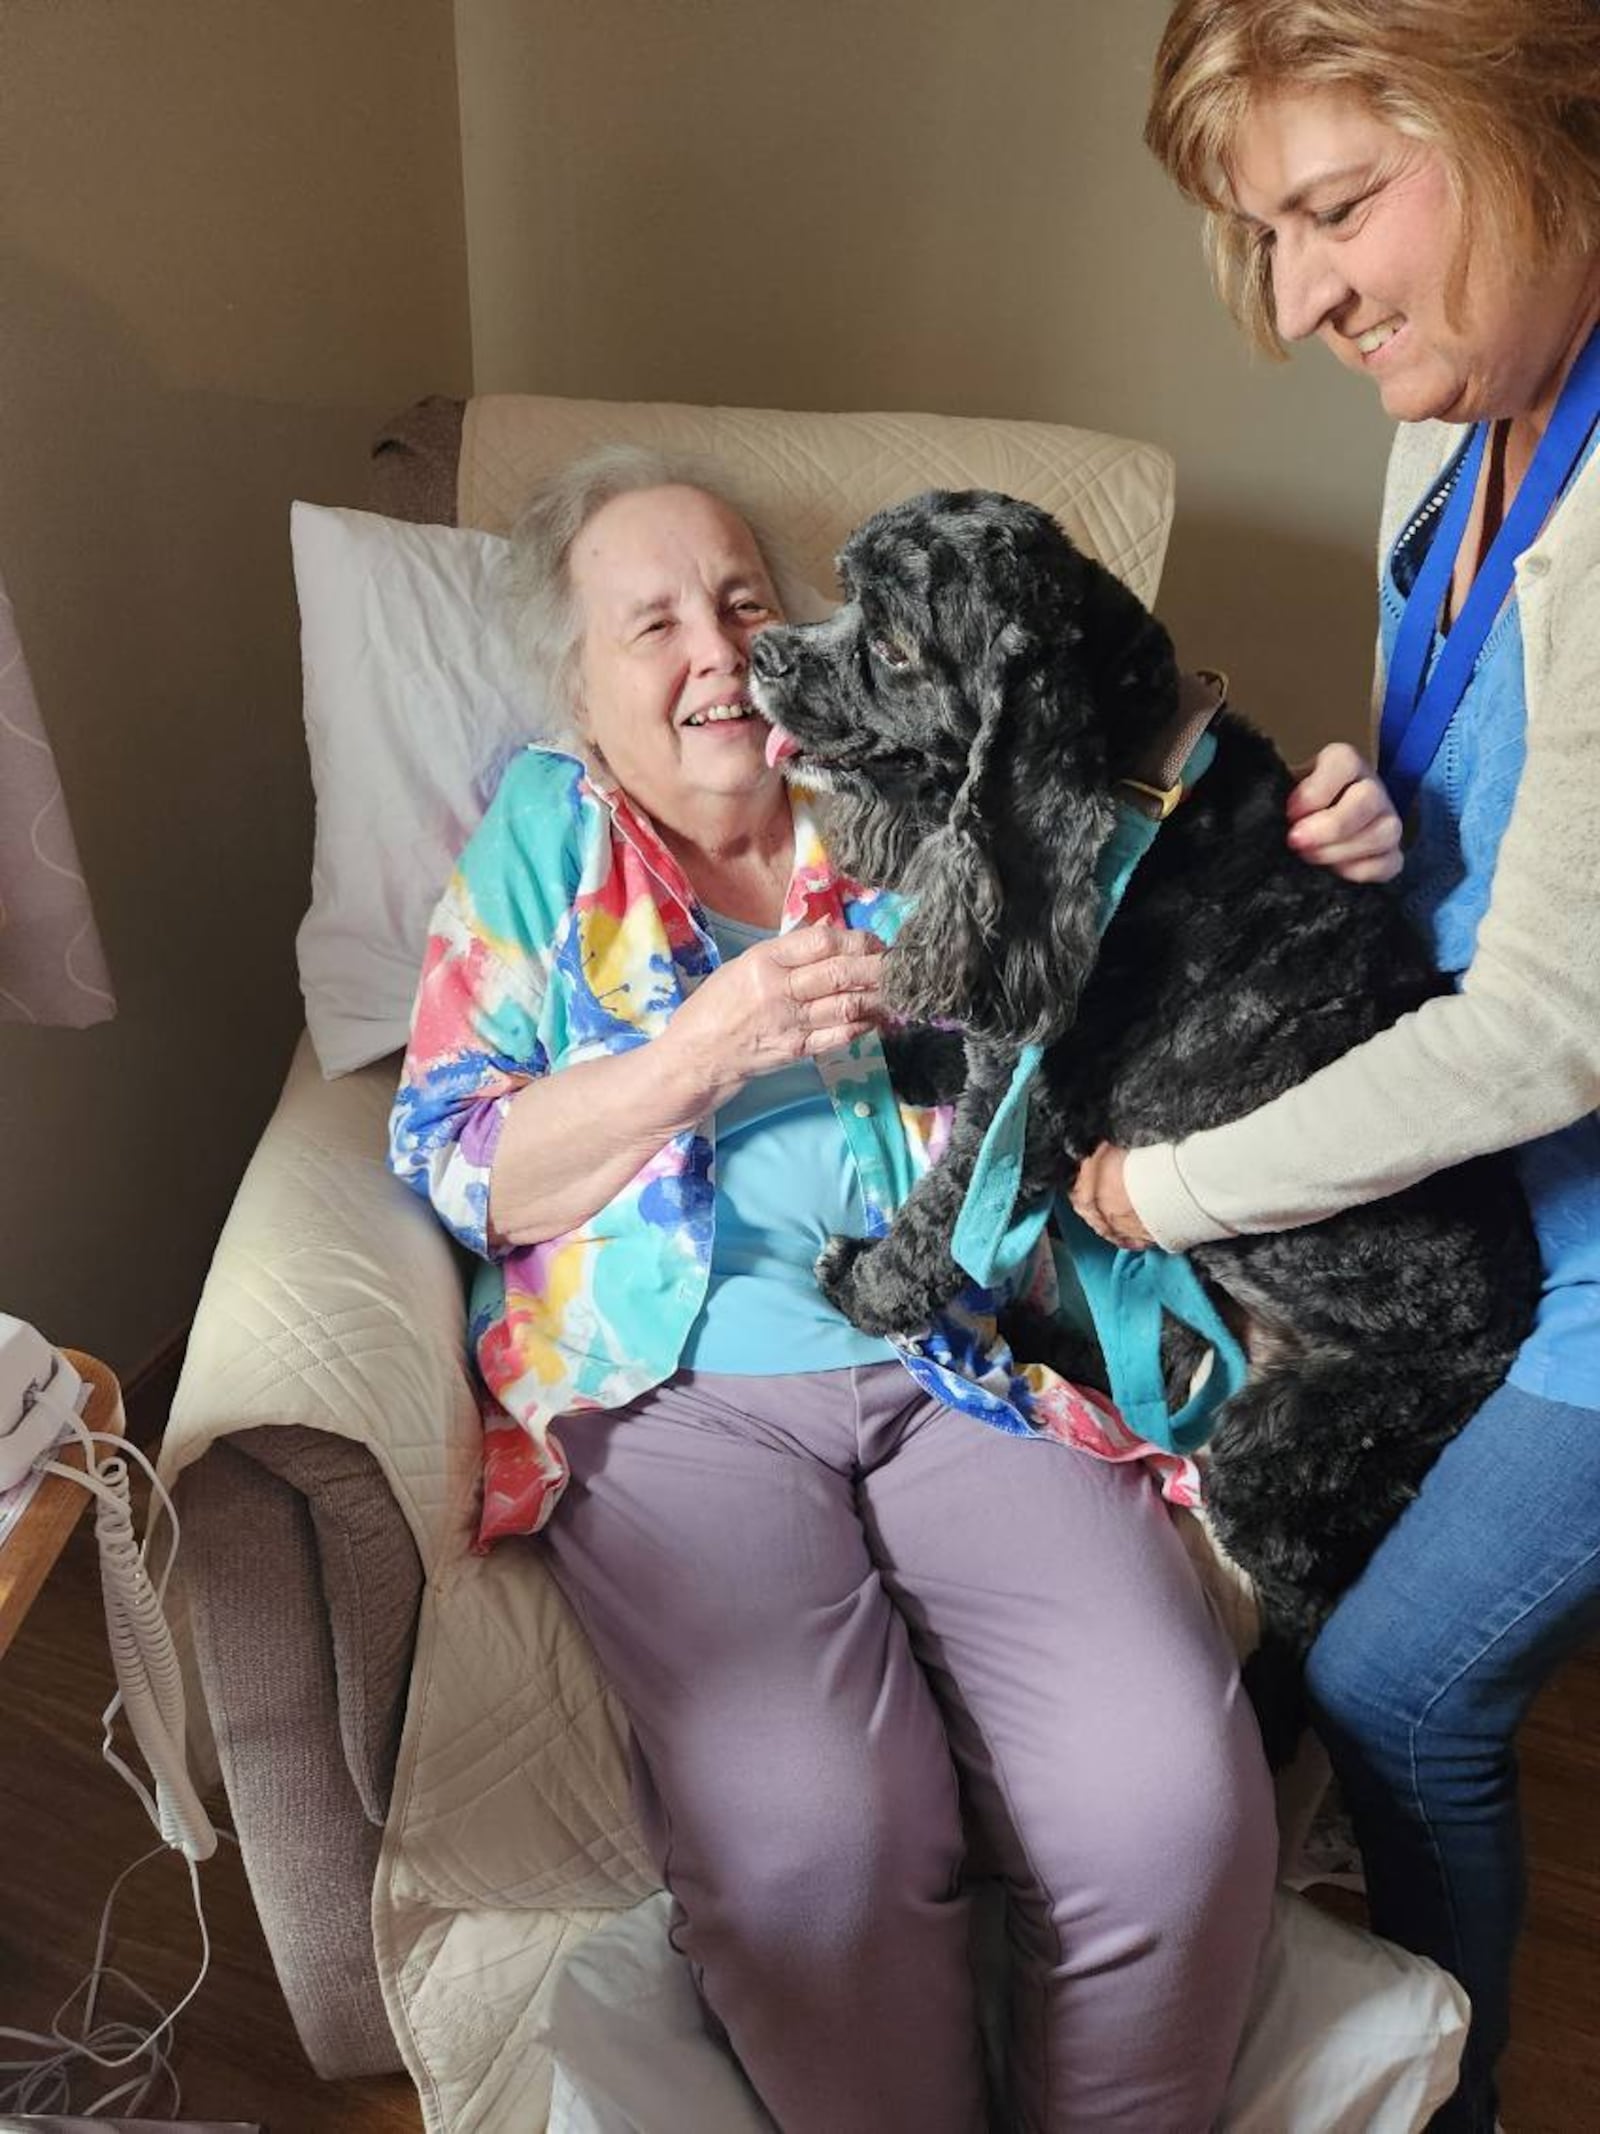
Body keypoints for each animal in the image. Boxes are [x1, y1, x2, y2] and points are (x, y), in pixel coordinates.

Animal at [750, 490, 1544, 1673]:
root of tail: (1505, 1336)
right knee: (1148, 1379)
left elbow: (944, 1214)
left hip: (1294, 1446)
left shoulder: (1034, 1112)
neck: (1130, 780)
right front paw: (907, 1052)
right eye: (843, 594)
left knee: (1294, 1585)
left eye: (888, 644)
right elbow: (966, 1050)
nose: (761, 651)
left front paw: (868, 1286)